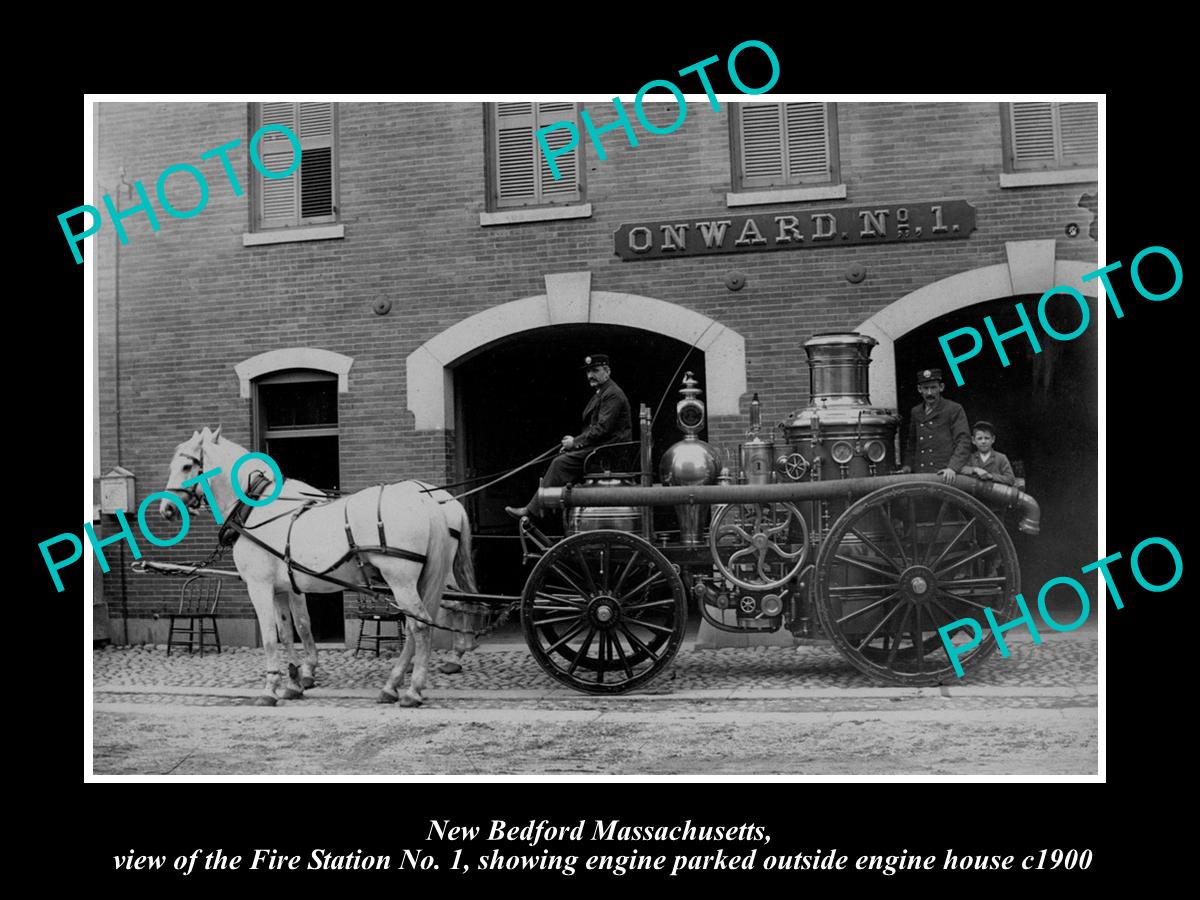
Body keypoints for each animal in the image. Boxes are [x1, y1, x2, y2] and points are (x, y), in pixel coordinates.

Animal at [158, 427, 472, 710]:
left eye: (187, 465)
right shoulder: (281, 589)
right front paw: (293, 682)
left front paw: (271, 689)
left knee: (421, 625)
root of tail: (424, 499)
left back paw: (413, 690)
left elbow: (271, 637)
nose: (166, 509)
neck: (255, 509)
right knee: (418, 624)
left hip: (401, 580)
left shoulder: (260, 587)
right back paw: (393, 684)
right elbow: (288, 631)